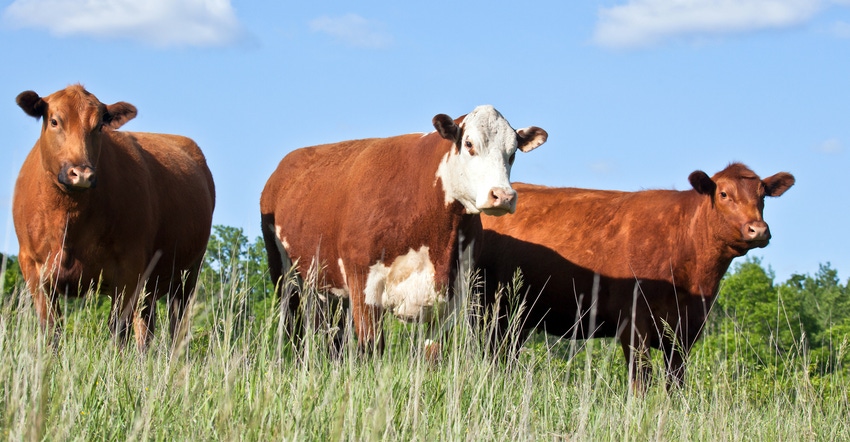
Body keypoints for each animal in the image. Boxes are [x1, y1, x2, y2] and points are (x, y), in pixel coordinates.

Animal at [13, 84, 215, 350]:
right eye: (54, 121)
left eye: (99, 125)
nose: (82, 174)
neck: (68, 220)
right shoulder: (33, 268)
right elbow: (51, 332)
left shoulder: (129, 270)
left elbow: (118, 332)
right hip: (152, 284)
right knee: (146, 327)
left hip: (187, 274)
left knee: (175, 327)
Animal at [258, 105, 548, 354]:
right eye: (469, 144)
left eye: (512, 153)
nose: (503, 195)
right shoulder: (364, 285)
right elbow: (371, 349)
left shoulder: (451, 297)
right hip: (285, 275)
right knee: (292, 328)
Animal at [480, 164, 792, 392]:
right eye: (724, 194)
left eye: (763, 195)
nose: (758, 229)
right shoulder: (633, 322)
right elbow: (641, 380)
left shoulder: (687, 329)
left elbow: (675, 383)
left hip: (517, 316)